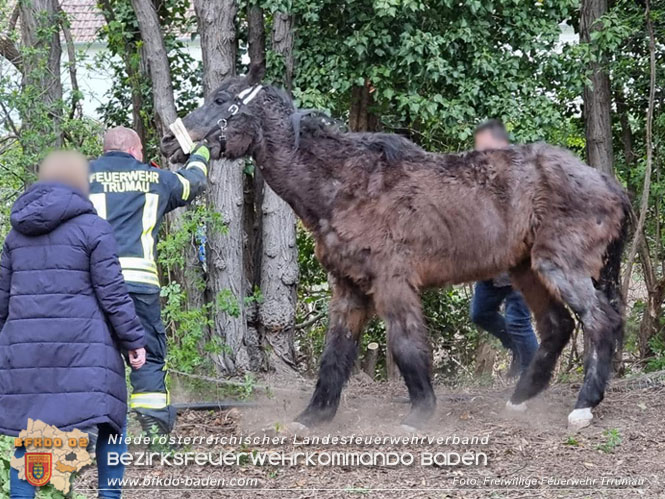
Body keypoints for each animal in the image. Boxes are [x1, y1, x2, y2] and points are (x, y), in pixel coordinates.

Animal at [161, 65, 630, 431]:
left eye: (222, 99)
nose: (169, 144)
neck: (345, 185)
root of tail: (607, 183)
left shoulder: (391, 281)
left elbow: (406, 344)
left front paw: (420, 413)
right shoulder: (348, 288)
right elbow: (335, 354)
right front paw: (313, 416)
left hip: (558, 266)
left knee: (599, 322)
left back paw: (583, 406)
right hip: (526, 269)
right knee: (556, 326)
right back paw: (521, 397)